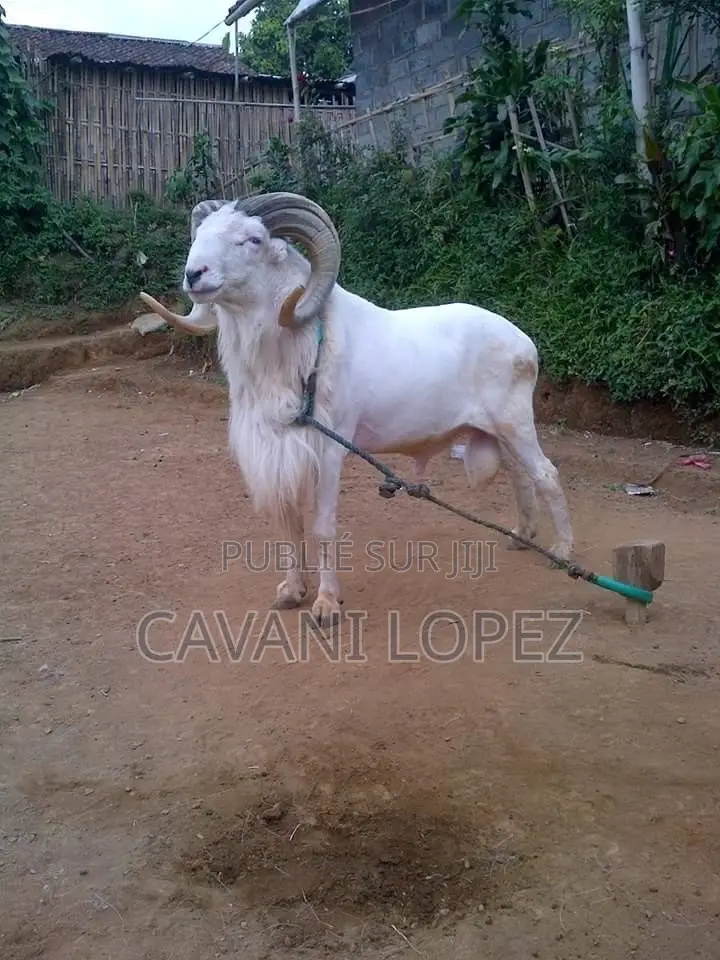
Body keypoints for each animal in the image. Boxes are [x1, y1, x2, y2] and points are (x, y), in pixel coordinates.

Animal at [137, 192, 574, 628]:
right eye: (201, 234)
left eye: (253, 239)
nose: (194, 275)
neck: (297, 357)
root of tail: (524, 344)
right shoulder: (284, 453)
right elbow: (290, 525)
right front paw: (291, 593)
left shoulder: (331, 451)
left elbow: (322, 527)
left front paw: (326, 605)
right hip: (501, 433)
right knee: (520, 476)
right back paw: (520, 537)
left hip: (516, 424)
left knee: (547, 475)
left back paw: (563, 555)